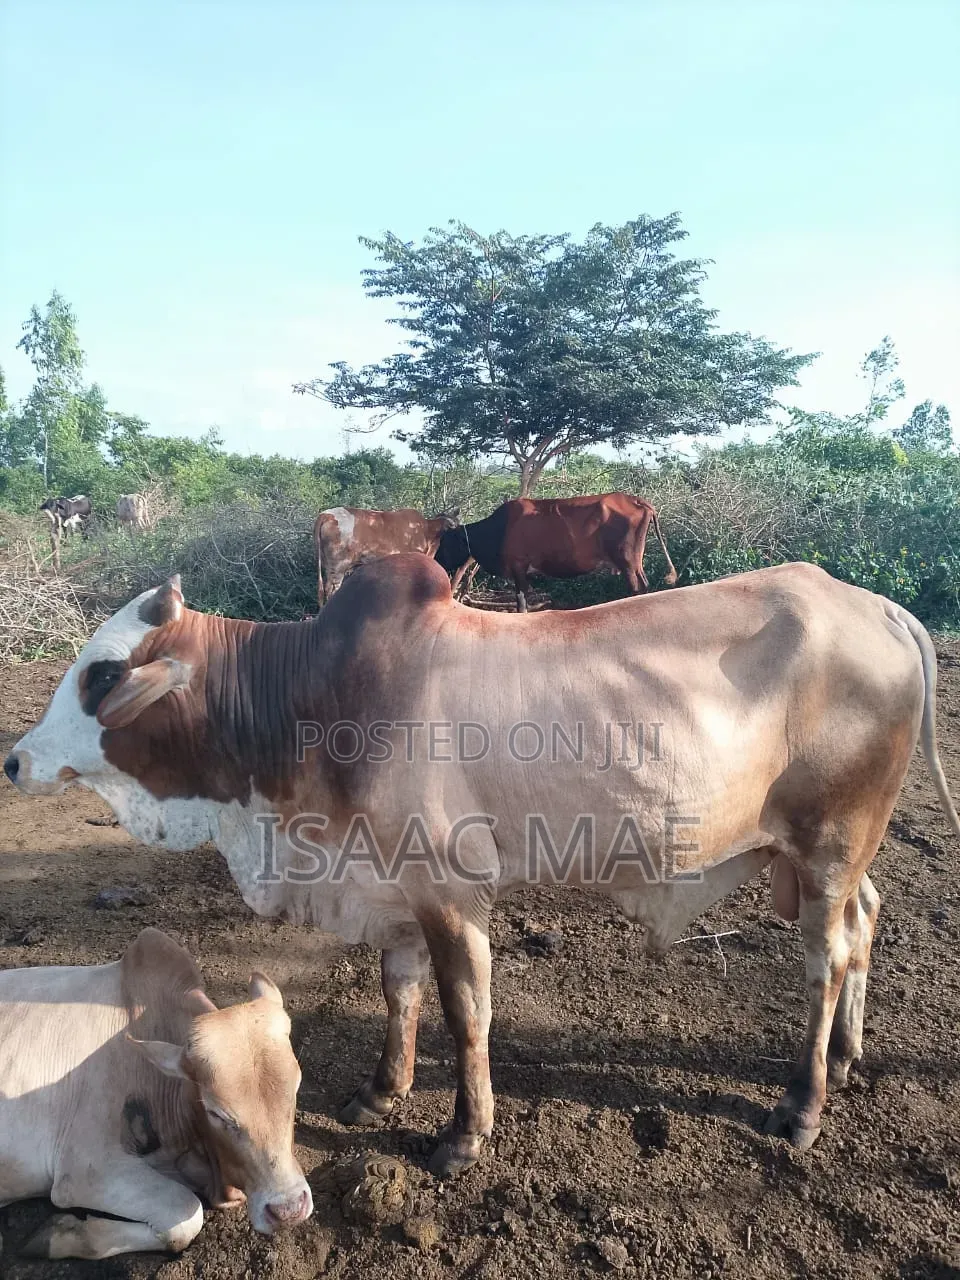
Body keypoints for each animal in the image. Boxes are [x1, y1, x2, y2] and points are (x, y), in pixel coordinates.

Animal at [0, 927, 311, 1259]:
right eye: (215, 1112)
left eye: (295, 1088)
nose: (289, 1209)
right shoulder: (85, 1169)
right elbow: (185, 1216)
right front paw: (55, 1236)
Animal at [5, 558, 959, 1181]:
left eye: (101, 674)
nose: (15, 761)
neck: (302, 702)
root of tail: (876, 607)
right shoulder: (388, 886)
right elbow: (399, 992)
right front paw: (382, 1092)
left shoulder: (451, 891)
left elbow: (467, 1014)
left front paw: (463, 1137)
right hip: (827, 853)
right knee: (865, 922)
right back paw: (847, 1058)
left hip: (829, 842)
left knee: (824, 958)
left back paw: (803, 1105)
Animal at [435, 492, 677, 612]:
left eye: (444, 541)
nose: (436, 562)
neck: (498, 529)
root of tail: (635, 499)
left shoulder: (518, 566)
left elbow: (521, 603)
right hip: (635, 562)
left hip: (627, 561)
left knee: (637, 588)